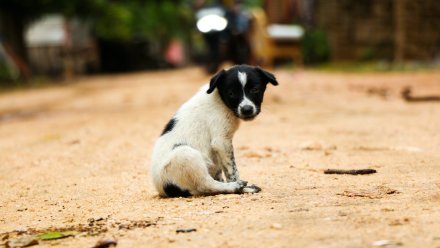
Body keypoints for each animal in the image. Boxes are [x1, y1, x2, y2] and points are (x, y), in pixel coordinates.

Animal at [150, 65, 276, 197]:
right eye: (231, 93)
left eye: (255, 90)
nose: (247, 109)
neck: (220, 100)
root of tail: (163, 189)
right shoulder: (221, 141)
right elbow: (232, 170)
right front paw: (239, 184)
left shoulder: (217, 151)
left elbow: (220, 170)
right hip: (185, 154)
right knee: (205, 185)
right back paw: (237, 187)